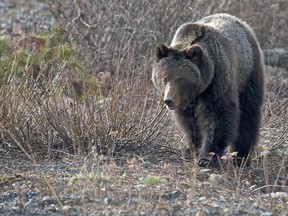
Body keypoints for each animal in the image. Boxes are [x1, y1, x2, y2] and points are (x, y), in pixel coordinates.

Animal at [152, 13, 264, 166]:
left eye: (181, 78)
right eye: (164, 78)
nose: (168, 100)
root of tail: (243, 24)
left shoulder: (217, 81)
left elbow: (218, 115)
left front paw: (207, 156)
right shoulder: (185, 102)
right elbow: (190, 123)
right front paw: (192, 148)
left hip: (248, 73)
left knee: (248, 112)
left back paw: (240, 155)